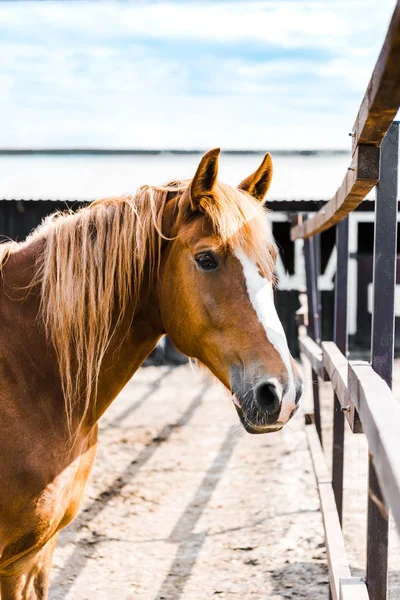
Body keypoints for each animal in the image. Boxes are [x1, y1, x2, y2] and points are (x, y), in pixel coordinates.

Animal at [0, 149, 302, 596]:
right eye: (206, 259)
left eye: (271, 264)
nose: (280, 392)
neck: (28, 373)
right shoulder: (19, 563)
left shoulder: (38, 555)